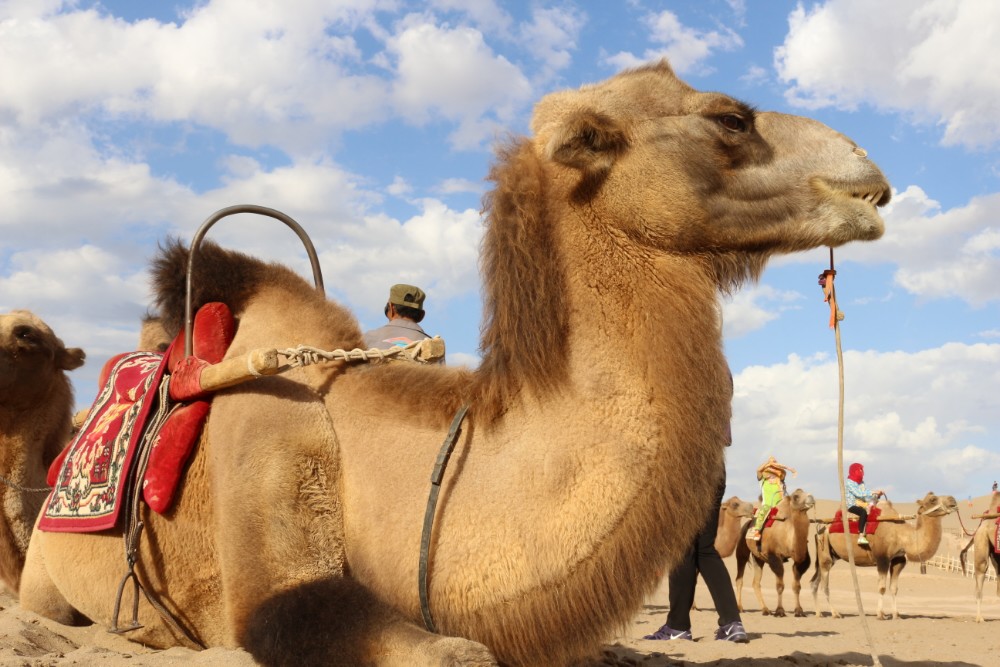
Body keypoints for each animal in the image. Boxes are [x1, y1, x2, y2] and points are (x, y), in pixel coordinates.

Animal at [732, 488, 816, 620]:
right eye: (796, 496)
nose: (811, 498)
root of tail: (747, 524)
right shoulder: (774, 557)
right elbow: (780, 585)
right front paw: (780, 611)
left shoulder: (800, 560)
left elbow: (797, 586)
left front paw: (799, 611)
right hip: (742, 550)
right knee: (739, 577)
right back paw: (740, 608)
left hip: (758, 558)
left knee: (756, 582)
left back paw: (765, 609)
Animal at [808, 490, 956, 620]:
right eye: (933, 499)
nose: (953, 500)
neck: (901, 534)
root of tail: (821, 529)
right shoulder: (882, 558)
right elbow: (882, 587)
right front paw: (880, 614)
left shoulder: (898, 560)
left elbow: (894, 588)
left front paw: (896, 614)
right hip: (825, 554)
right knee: (824, 585)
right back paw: (835, 613)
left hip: (831, 555)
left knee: (814, 582)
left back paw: (818, 613)